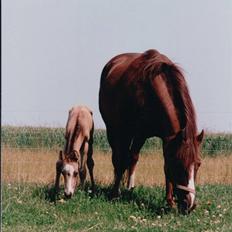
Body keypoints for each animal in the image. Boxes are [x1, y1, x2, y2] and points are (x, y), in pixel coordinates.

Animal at [99, 49, 204, 214]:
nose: (190, 204)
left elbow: (164, 167)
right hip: (114, 130)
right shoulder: (129, 132)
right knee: (118, 157)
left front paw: (169, 201)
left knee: (133, 157)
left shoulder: (166, 138)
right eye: (179, 164)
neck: (150, 91)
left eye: (198, 164)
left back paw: (129, 186)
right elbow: (121, 161)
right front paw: (115, 194)